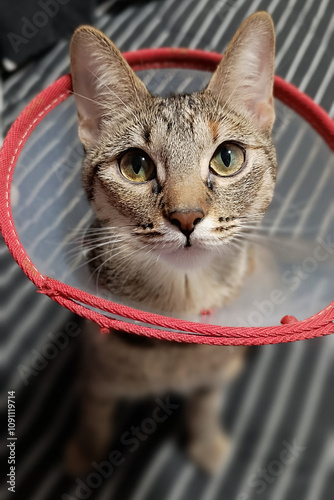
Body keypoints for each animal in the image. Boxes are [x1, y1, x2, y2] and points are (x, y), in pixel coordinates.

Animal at [65, 9, 276, 474]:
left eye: (227, 157)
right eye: (136, 165)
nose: (186, 217)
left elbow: (206, 398)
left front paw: (207, 442)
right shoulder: (96, 369)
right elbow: (93, 405)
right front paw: (84, 454)